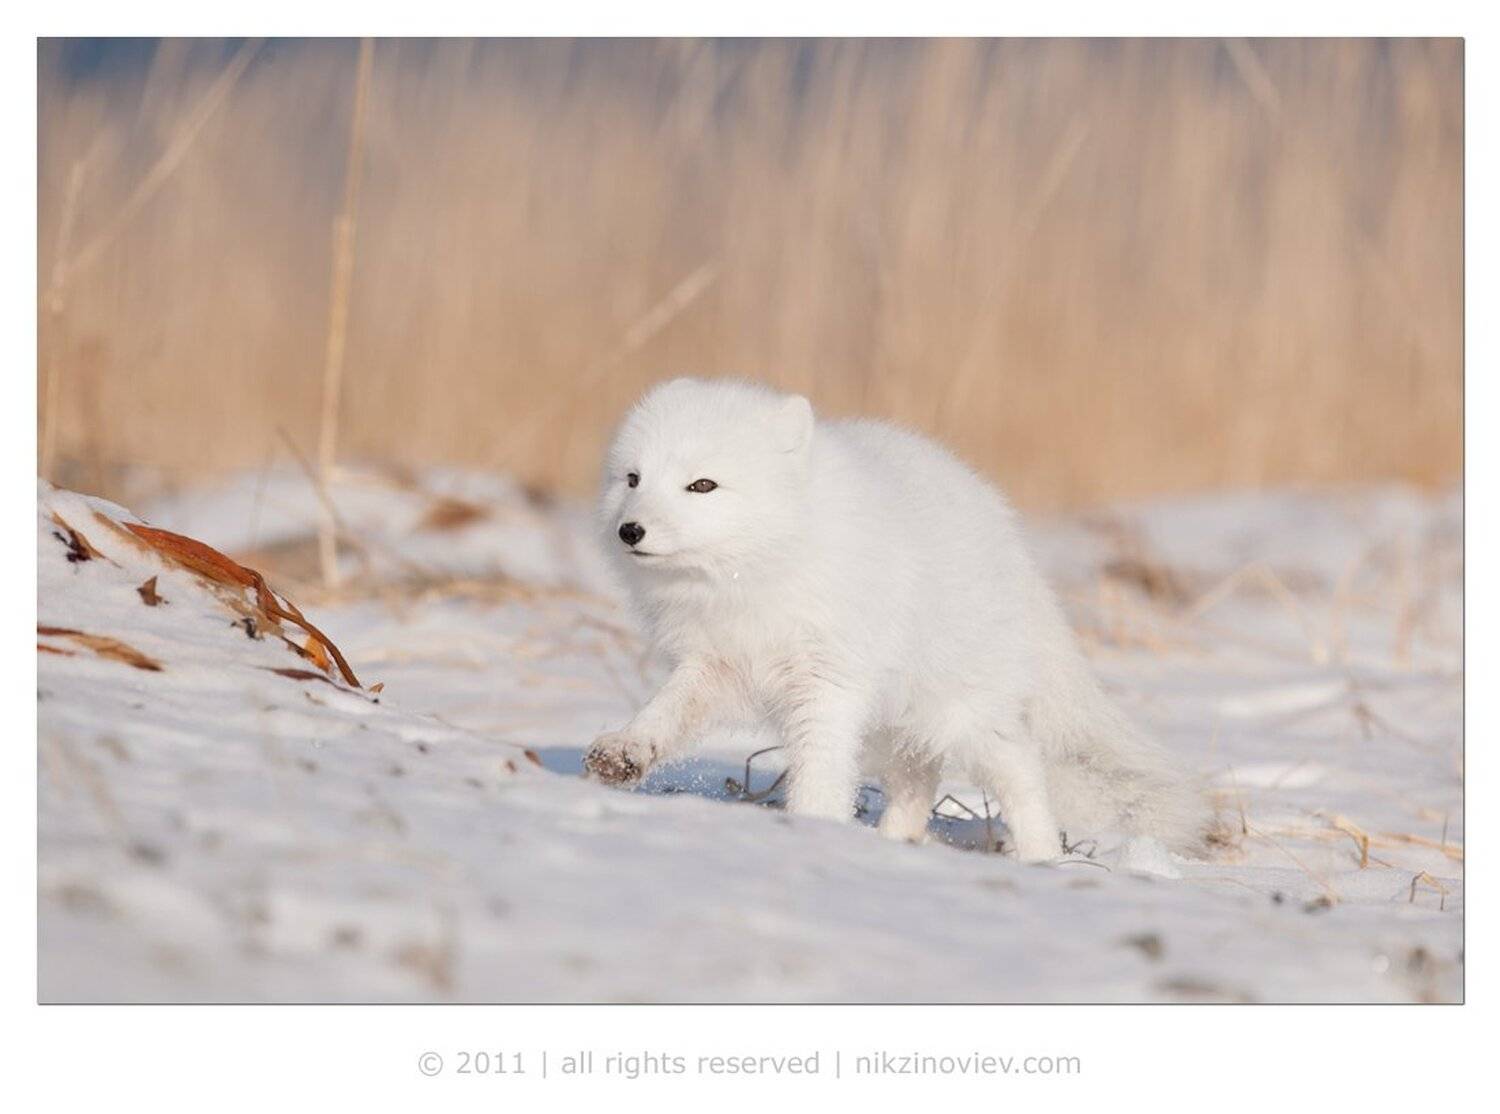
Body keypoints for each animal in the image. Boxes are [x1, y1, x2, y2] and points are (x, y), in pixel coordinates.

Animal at [583, 377, 1207, 862]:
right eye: (633, 479)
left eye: (702, 485)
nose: (630, 531)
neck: (750, 574)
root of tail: (1014, 547)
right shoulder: (714, 663)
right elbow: (665, 712)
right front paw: (626, 753)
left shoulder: (827, 681)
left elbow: (821, 766)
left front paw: (811, 825)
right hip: (892, 725)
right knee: (917, 781)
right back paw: (893, 844)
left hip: (963, 713)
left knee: (1021, 771)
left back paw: (1042, 857)